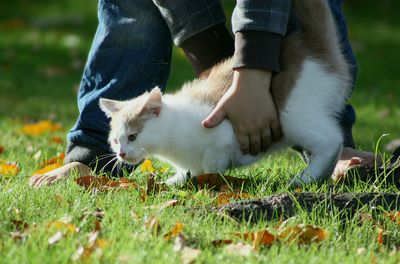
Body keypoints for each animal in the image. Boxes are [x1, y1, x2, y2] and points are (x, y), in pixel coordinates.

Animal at [99, 0, 350, 187]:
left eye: (133, 136)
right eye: (115, 140)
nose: (121, 154)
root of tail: (309, 44)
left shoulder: (223, 132)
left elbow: (211, 163)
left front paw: (211, 181)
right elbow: (190, 170)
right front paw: (174, 181)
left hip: (294, 113)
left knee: (332, 140)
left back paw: (306, 177)